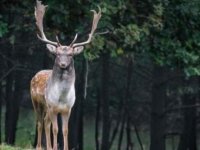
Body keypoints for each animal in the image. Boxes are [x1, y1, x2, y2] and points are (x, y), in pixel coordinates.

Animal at [30, 0, 101, 149]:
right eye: (57, 54)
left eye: (70, 55)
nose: (63, 64)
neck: (62, 97)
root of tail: (36, 74)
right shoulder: (52, 107)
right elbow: (56, 129)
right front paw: (54, 147)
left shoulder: (67, 109)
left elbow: (65, 130)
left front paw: (64, 147)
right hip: (37, 102)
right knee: (40, 123)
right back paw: (39, 146)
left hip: (46, 108)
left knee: (46, 122)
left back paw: (48, 146)